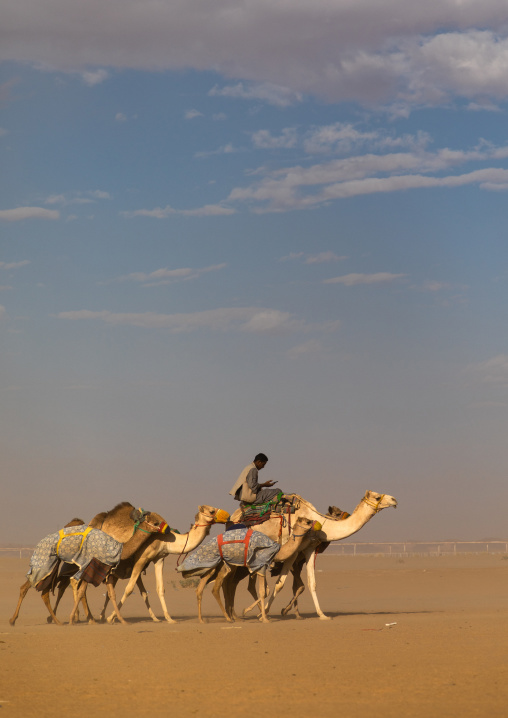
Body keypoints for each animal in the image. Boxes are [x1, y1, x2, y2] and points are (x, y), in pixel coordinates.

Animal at [9, 503, 169, 626]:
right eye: (156, 522)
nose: (168, 528)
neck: (118, 546)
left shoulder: (106, 570)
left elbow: (113, 593)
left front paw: (119, 620)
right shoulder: (92, 565)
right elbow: (83, 590)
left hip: (54, 564)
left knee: (44, 589)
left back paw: (55, 620)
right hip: (47, 562)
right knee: (37, 586)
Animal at [193, 516, 322, 623]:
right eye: (308, 521)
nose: (318, 524)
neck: (277, 551)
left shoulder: (260, 568)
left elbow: (264, 591)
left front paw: (257, 613)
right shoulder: (260, 566)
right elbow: (262, 591)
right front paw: (263, 618)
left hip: (230, 565)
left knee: (221, 584)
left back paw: (217, 618)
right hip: (227, 565)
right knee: (218, 587)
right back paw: (228, 618)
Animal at [233, 490, 397, 620]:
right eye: (377, 497)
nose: (394, 500)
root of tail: (235, 516)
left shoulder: (310, 548)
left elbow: (312, 583)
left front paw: (322, 615)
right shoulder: (293, 550)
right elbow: (280, 584)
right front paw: (264, 613)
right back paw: (245, 612)